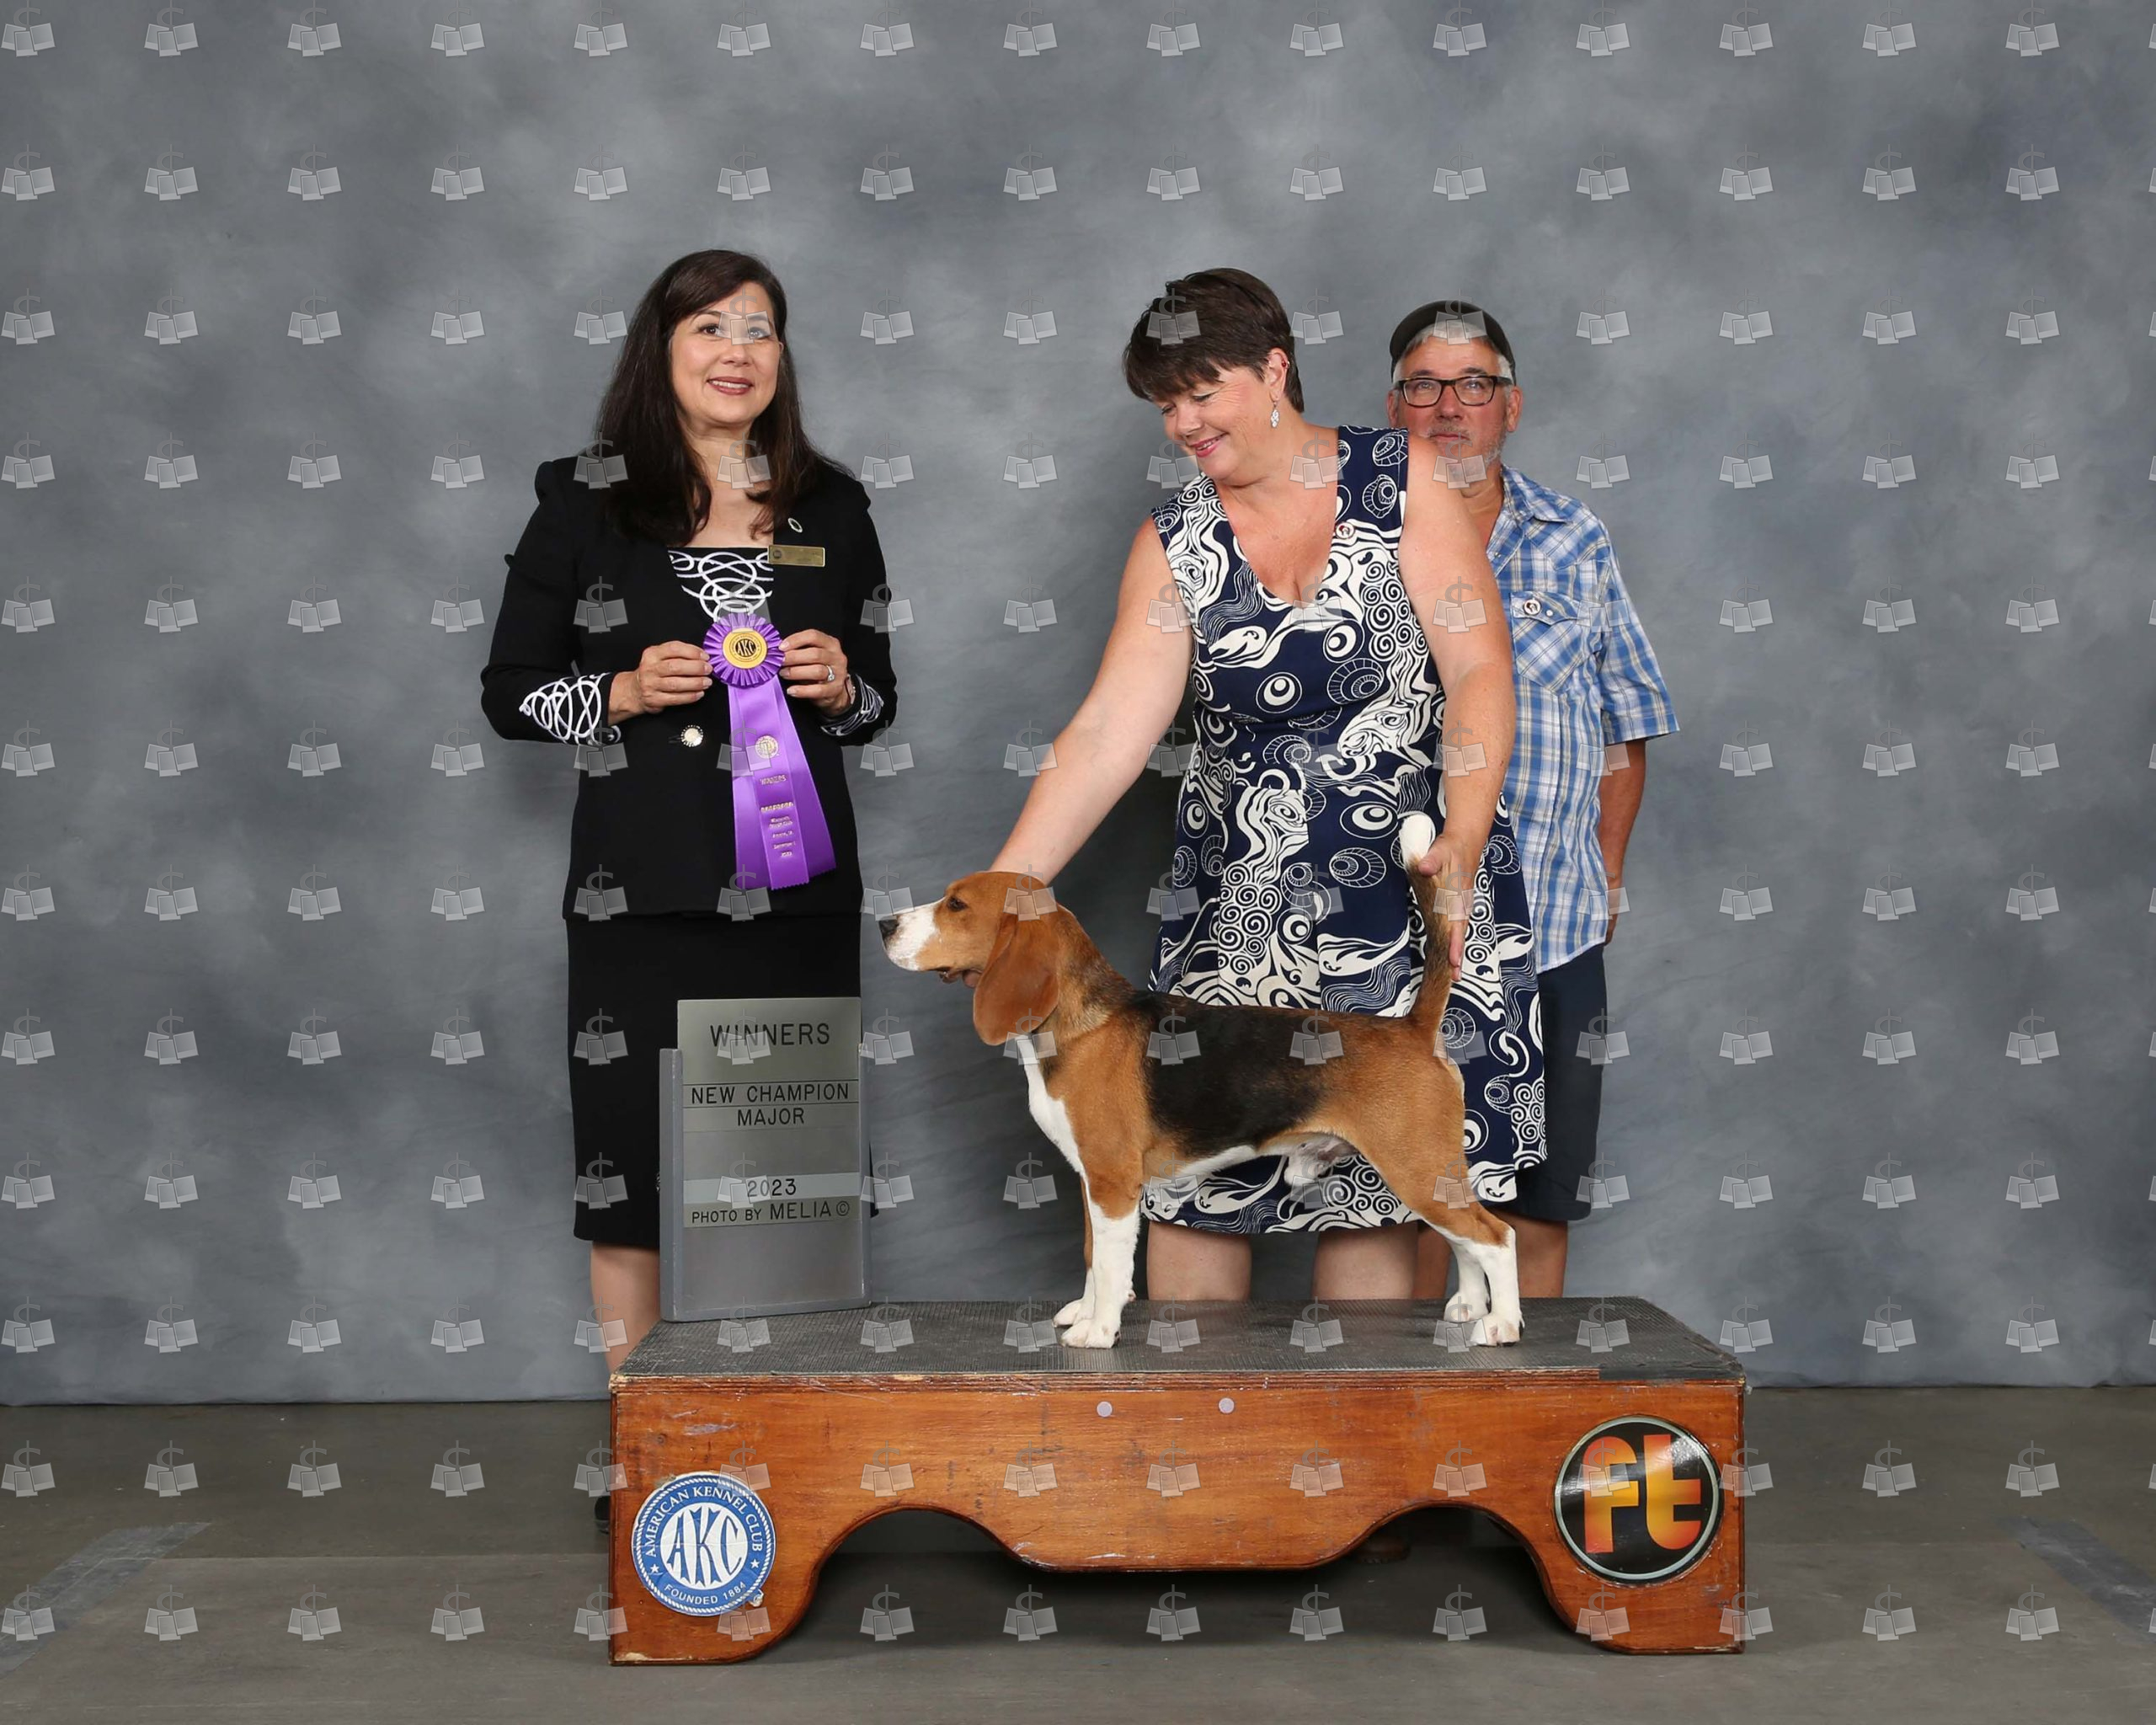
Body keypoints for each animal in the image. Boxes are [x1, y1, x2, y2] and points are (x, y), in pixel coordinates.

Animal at [879, 812, 1522, 1350]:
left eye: (956, 905)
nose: (884, 923)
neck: (1074, 1024)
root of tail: (1412, 1027)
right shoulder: (1093, 1180)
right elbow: (1091, 1255)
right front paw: (1085, 1312)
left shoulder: (1113, 1182)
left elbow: (1109, 1263)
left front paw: (1098, 1330)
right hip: (1428, 1175)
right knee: (1466, 1242)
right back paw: (1470, 1306)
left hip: (1415, 1166)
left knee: (1497, 1237)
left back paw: (1504, 1324)